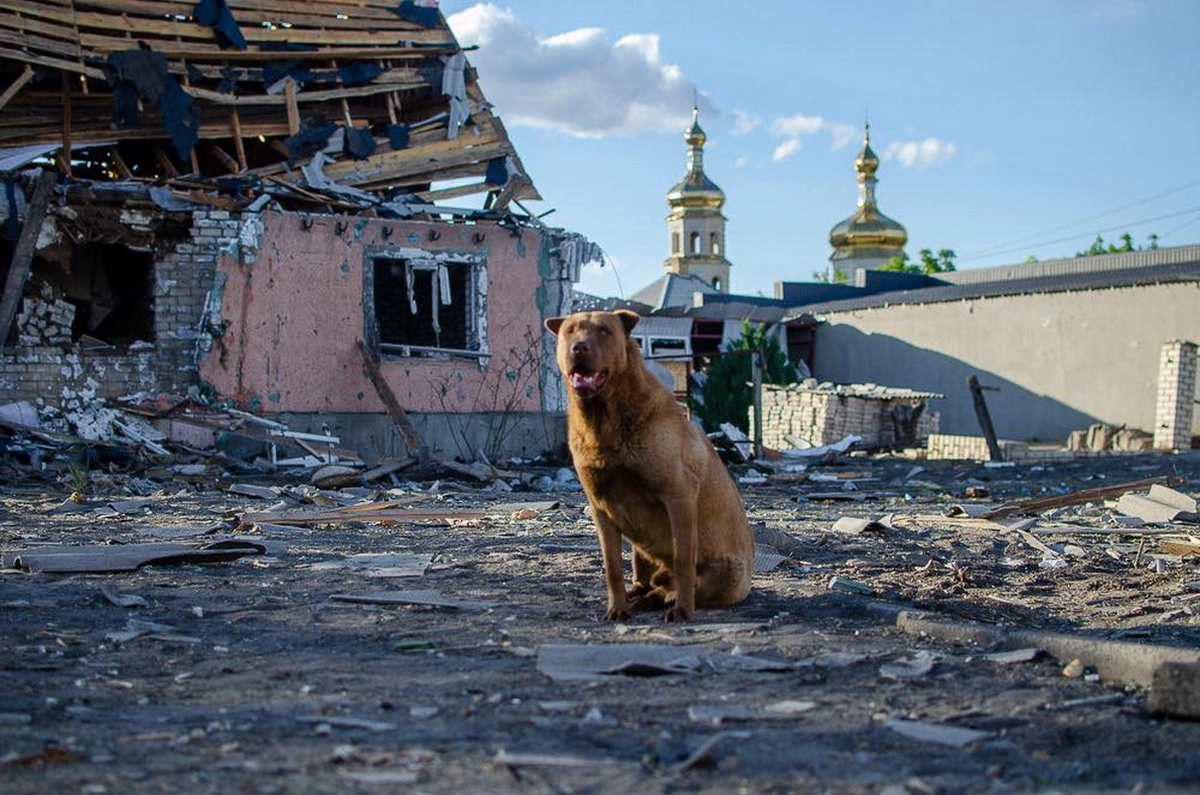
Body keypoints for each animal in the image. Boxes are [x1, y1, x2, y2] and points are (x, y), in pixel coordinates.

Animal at [544, 312, 748, 624]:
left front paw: (682, 609)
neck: (603, 419)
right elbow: (613, 566)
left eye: (604, 331)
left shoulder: (679, 495)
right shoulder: (600, 506)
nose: (579, 348)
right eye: (570, 330)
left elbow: (683, 560)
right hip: (640, 550)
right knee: (645, 580)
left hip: (729, 572)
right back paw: (639, 596)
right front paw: (616, 608)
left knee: (680, 584)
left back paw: (664, 598)